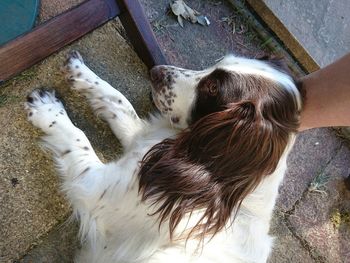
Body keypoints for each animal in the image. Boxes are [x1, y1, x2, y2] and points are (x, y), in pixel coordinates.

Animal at [25, 50, 304, 262]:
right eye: (218, 61)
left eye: (213, 87)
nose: (155, 71)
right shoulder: (145, 147)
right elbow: (118, 100)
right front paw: (80, 72)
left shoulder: (96, 189)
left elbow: (78, 138)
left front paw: (47, 110)